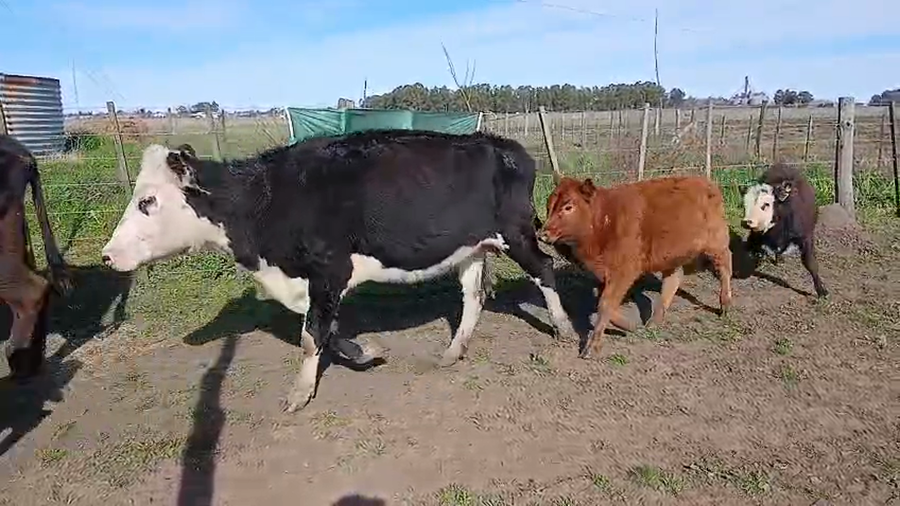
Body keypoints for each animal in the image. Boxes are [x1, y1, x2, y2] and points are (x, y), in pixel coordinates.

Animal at [100, 130, 578, 413]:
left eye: (147, 201)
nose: (106, 256)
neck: (268, 200)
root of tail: (505, 145)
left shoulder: (329, 268)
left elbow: (312, 335)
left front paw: (299, 394)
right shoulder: (313, 282)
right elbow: (324, 331)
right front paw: (365, 352)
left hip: (515, 233)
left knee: (545, 271)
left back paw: (566, 330)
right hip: (472, 248)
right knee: (473, 297)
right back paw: (452, 351)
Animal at [537, 175, 733, 360]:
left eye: (568, 207)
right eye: (549, 205)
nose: (542, 234)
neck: (605, 221)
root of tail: (706, 182)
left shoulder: (623, 271)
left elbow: (605, 304)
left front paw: (591, 348)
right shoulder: (603, 275)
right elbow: (605, 303)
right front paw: (629, 326)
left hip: (716, 242)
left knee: (725, 266)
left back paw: (725, 304)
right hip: (671, 256)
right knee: (673, 280)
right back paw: (654, 321)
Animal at [740, 162, 828, 298]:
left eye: (766, 204)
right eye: (745, 204)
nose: (746, 222)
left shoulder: (806, 237)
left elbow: (810, 262)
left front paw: (821, 291)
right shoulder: (756, 235)